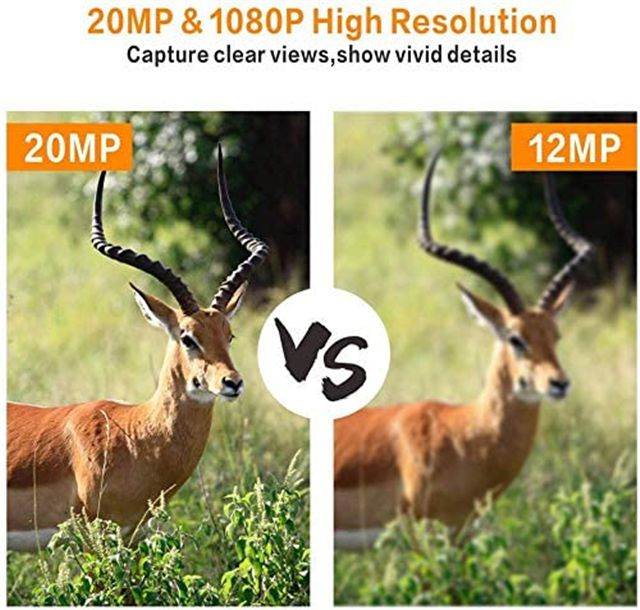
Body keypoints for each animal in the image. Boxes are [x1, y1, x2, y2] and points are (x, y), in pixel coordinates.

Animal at [7, 144, 269, 552]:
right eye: (187, 337)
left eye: (229, 334)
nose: (232, 382)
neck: (135, 433)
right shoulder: (96, 537)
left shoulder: (131, 534)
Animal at [334, 150, 594, 550]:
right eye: (515, 338)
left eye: (555, 335)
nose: (558, 383)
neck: (465, 434)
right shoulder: (425, 537)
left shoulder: (460, 533)